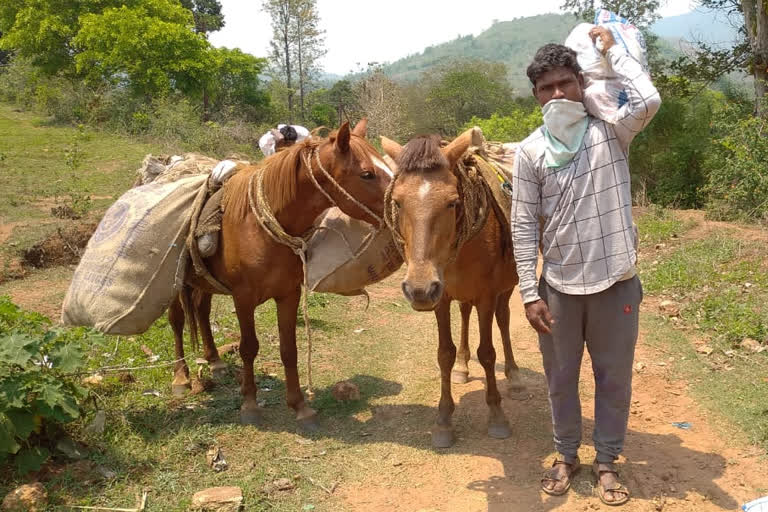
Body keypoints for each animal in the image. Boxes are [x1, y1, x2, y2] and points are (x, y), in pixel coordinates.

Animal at [171, 120, 388, 428]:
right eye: (367, 174)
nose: (400, 203)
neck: (263, 227)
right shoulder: (243, 298)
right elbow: (249, 347)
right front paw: (250, 404)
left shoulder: (288, 294)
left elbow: (289, 349)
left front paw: (300, 406)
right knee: (177, 321)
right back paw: (181, 377)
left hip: (204, 281)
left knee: (201, 310)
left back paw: (215, 361)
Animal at [382, 129, 524, 448]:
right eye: (398, 202)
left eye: (453, 202)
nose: (419, 289)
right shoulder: (442, 297)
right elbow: (444, 354)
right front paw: (444, 420)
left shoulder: (486, 296)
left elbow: (488, 353)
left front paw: (497, 416)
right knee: (465, 314)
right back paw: (462, 367)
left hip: (507, 286)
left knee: (504, 319)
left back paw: (514, 376)